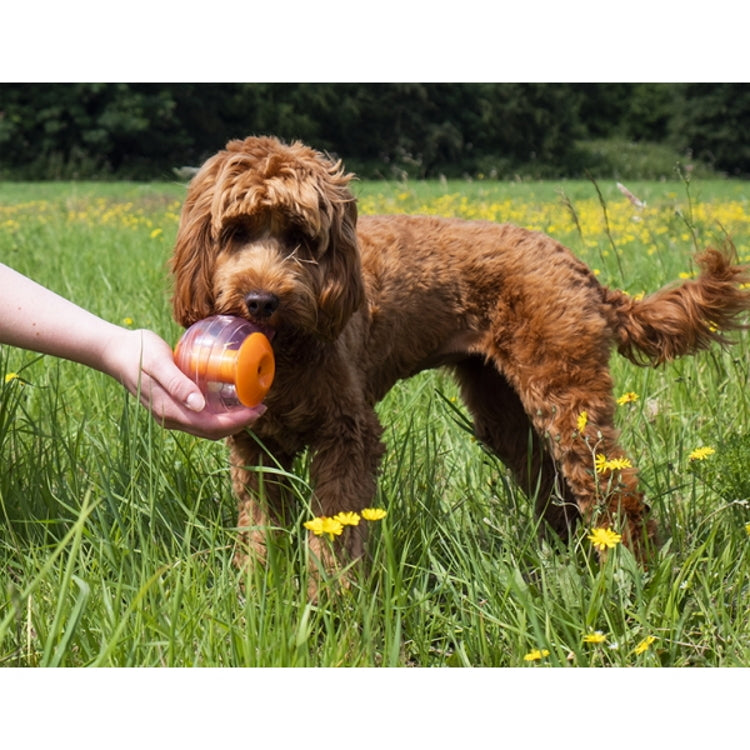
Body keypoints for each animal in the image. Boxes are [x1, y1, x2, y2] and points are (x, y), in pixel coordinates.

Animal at [170, 137, 750, 568]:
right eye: (235, 232)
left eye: (299, 235)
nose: (260, 300)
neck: (289, 346)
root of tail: (579, 269)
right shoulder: (255, 446)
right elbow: (260, 536)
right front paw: (258, 598)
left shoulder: (346, 436)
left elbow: (333, 538)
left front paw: (331, 612)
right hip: (503, 406)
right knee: (553, 484)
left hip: (566, 395)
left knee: (614, 489)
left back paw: (632, 576)